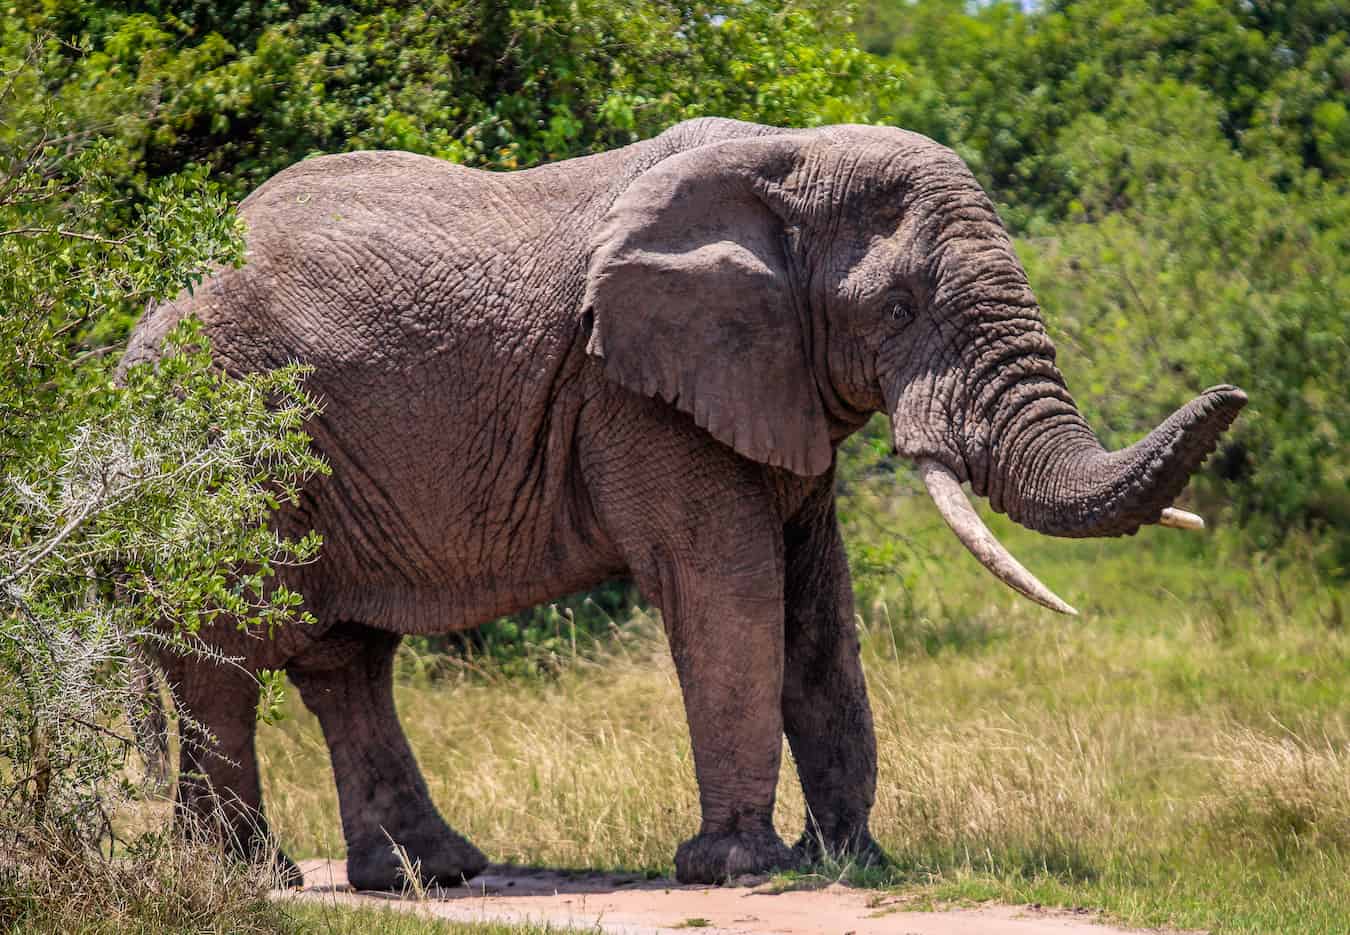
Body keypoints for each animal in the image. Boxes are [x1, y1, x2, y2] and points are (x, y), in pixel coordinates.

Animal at [126, 118, 1242, 890]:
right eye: (897, 309)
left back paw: (428, 872)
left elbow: (818, 608)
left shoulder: (769, 384)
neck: (789, 163)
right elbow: (728, 585)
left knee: (346, 660)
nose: (1233, 393)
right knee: (224, 649)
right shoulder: (632, 391)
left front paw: (852, 861)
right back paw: (247, 875)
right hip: (223, 433)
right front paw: (738, 867)